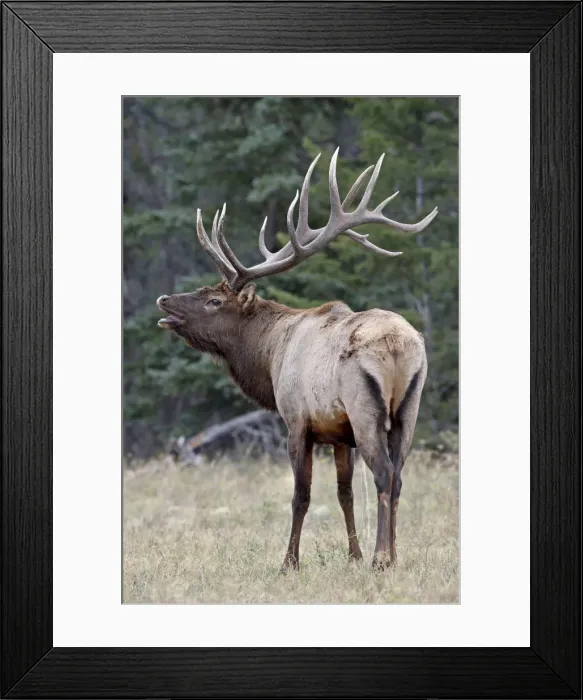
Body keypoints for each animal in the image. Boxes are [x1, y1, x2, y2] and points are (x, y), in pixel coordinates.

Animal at [157, 148, 437, 570]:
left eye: (214, 300)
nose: (164, 300)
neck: (270, 355)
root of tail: (399, 346)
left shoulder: (297, 421)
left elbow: (300, 496)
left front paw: (290, 561)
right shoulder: (339, 433)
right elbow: (343, 493)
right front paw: (352, 555)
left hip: (366, 408)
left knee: (384, 474)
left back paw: (381, 558)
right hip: (409, 408)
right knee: (399, 475)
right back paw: (393, 556)